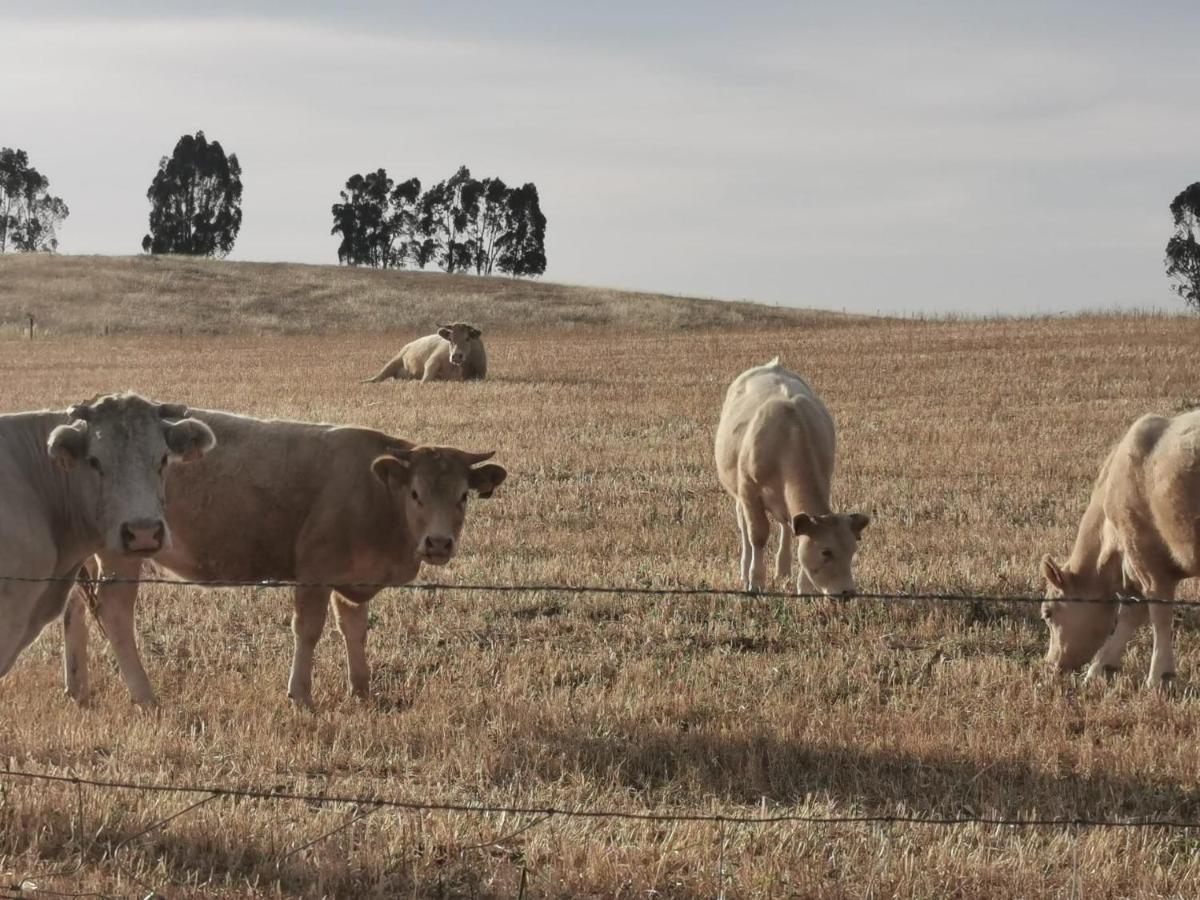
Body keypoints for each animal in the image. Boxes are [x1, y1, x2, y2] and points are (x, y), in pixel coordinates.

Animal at [65, 410, 506, 710]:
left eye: (462, 496)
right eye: (416, 494)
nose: (438, 543)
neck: (376, 494)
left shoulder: (351, 578)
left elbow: (355, 630)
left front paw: (361, 689)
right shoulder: (315, 571)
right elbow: (308, 630)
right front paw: (301, 695)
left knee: (73, 609)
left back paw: (77, 688)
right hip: (123, 552)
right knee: (114, 614)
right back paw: (145, 696)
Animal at [710, 360, 873, 600]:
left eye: (853, 550)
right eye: (826, 551)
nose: (847, 592)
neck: (787, 436)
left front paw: (803, 588)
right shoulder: (749, 491)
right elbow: (757, 535)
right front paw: (756, 582)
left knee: (786, 526)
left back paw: (783, 570)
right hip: (739, 495)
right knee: (745, 529)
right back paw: (745, 570)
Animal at [1041, 410, 1200, 691]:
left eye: (1048, 614)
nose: (1051, 665)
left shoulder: (1147, 562)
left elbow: (1158, 615)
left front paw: (1159, 675)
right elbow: (1130, 615)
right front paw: (1100, 667)